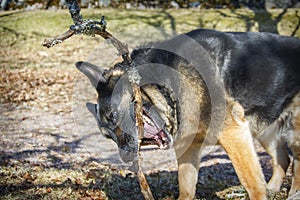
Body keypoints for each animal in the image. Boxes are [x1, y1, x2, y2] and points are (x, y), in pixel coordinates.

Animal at [75, 28, 300, 199]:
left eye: (114, 116)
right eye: (108, 137)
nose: (127, 158)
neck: (167, 81)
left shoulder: (233, 133)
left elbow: (252, 184)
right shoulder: (188, 147)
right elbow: (186, 187)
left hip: (293, 134)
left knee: (296, 166)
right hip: (265, 131)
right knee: (284, 160)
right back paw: (274, 189)